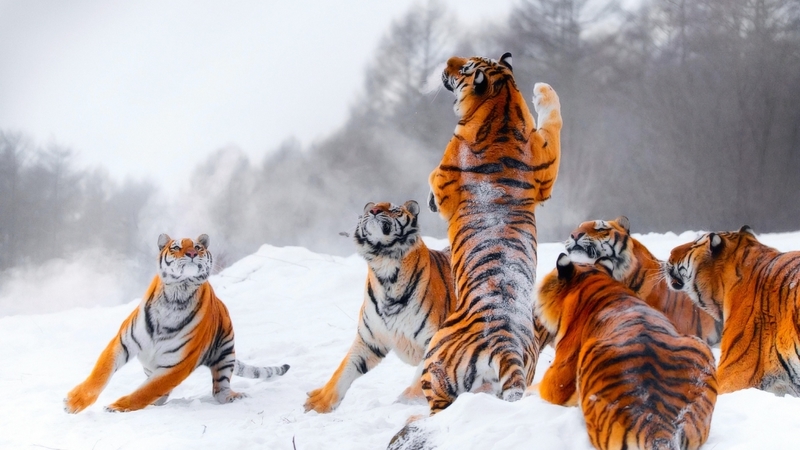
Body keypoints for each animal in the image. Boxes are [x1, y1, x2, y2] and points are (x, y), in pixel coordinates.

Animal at [64, 234, 289, 413]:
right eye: (176, 247)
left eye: (198, 247)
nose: (191, 253)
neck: (176, 296)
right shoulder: (123, 342)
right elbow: (101, 373)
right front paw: (74, 403)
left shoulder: (178, 364)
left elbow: (146, 391)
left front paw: (117, 406)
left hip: (225, 351)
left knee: (220, 389)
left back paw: (233, 396)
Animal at [304, 200, 456, 413]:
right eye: (370, 209)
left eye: (394, 209)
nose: (374, 211)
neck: (385, 268)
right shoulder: (369, 341)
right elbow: (344, 370)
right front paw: (317, 404)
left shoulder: (434, 339)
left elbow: (423, 377)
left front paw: (405, 402)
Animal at [421, 52, 562, 413]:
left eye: (463, 67)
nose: (447, 60)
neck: (502, 106)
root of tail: (504, 346)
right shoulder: (546, 161)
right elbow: (554, 120)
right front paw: (543, 89)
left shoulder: (443, 174)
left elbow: (433, 181)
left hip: (433, 356)